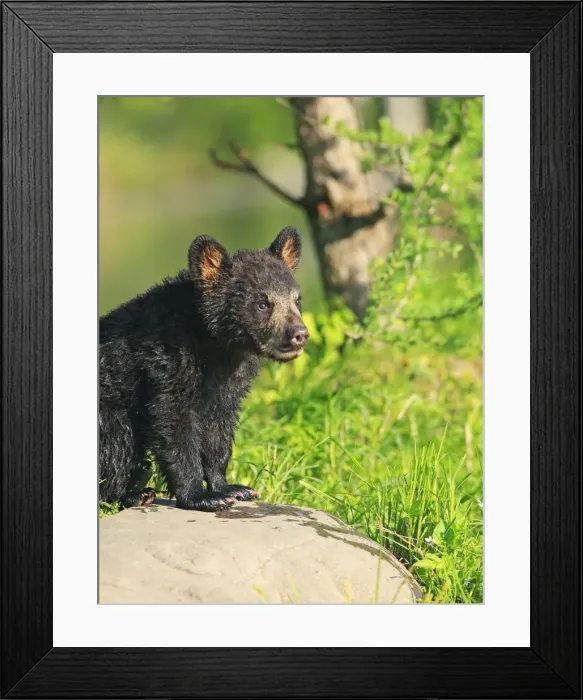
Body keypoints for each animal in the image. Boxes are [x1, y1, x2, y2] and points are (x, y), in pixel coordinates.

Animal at [99, 226, 308, 512]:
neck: (214, 345)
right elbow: (172, 420)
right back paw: (131, 494)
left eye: (297, 300)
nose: (299, 334)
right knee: (120, 445)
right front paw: (201, 496)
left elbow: (218, 426)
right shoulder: (167, 363)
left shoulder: (227, 380)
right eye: (262, 303)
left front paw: (232, 488)